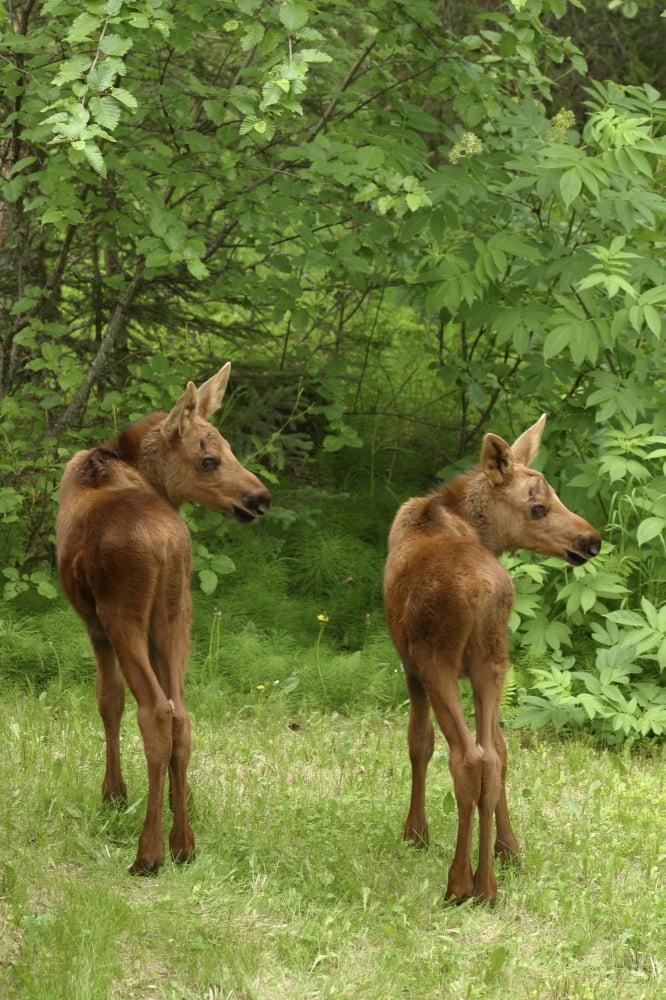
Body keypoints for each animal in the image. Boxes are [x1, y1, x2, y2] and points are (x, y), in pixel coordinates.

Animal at [56, 363, 271, 875]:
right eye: (210, 458)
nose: (260, 498)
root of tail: (166, 544)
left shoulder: (93, 622)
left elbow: (108, 698)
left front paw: (113, 794)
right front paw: (184, 800)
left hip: (123, 614)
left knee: (154, 712)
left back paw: (149, 851)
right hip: (177, 613)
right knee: (182, 715)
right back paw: (184, 842)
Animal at [383, 414, 601, 904]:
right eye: (538, 506)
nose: (592, 540)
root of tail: (483, 593)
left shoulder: (410, 665)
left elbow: (418, 742)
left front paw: (415, 833)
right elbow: (500, 745)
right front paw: (510, 849)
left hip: (438, 661)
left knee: (467, 758)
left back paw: (460, 883)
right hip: (494, 660)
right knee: (494, 757)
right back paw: (489, 883)